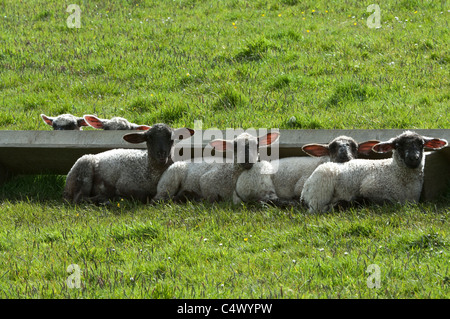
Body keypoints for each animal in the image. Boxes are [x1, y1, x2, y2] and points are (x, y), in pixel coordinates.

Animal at [63, 124, 195, 204]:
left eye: (171, 138)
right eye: (149, 138)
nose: (162, 154)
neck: (148, 169)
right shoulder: (125, 185)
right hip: (83, 169)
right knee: (79, 199)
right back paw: (104, 199)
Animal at [300, 131, 448, 214]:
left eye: (421, 144)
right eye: (398, 146)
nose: (414, 158)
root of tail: (305, 189)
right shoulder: (370, 188)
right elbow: (386, 202)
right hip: (319, 194)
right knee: (316, 210)